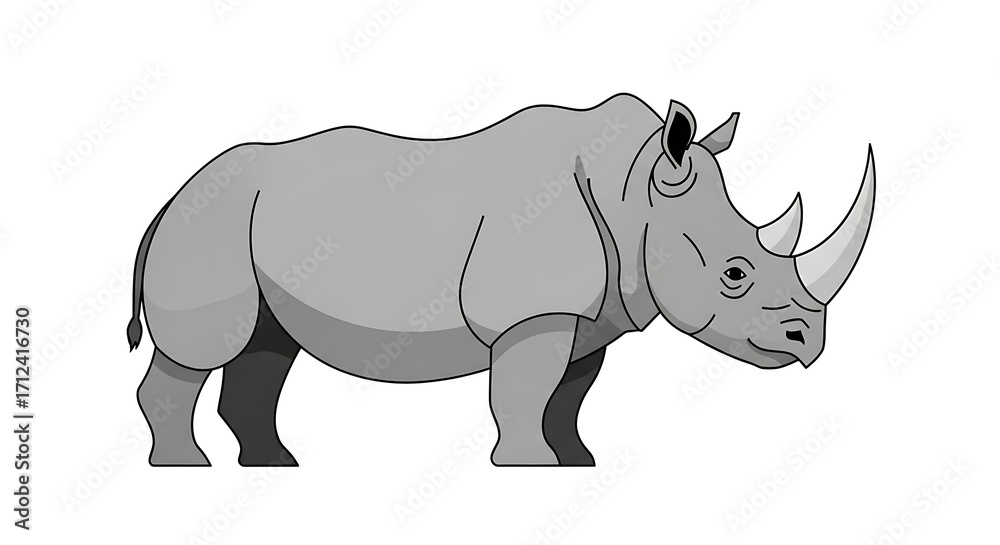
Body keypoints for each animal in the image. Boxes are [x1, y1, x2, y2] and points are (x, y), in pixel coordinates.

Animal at [127, 94, 874, 467]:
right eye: (734, 273)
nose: (808, 342)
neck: (635, 193)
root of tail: (171, 194)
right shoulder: (533, 312)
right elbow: (524, 391)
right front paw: (527, 468)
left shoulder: (589, 315)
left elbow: (568, 395)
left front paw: (576, 462)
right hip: (208, 227)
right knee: (205, 349)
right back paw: (185, 468)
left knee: (266, 345)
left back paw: (276, 466)